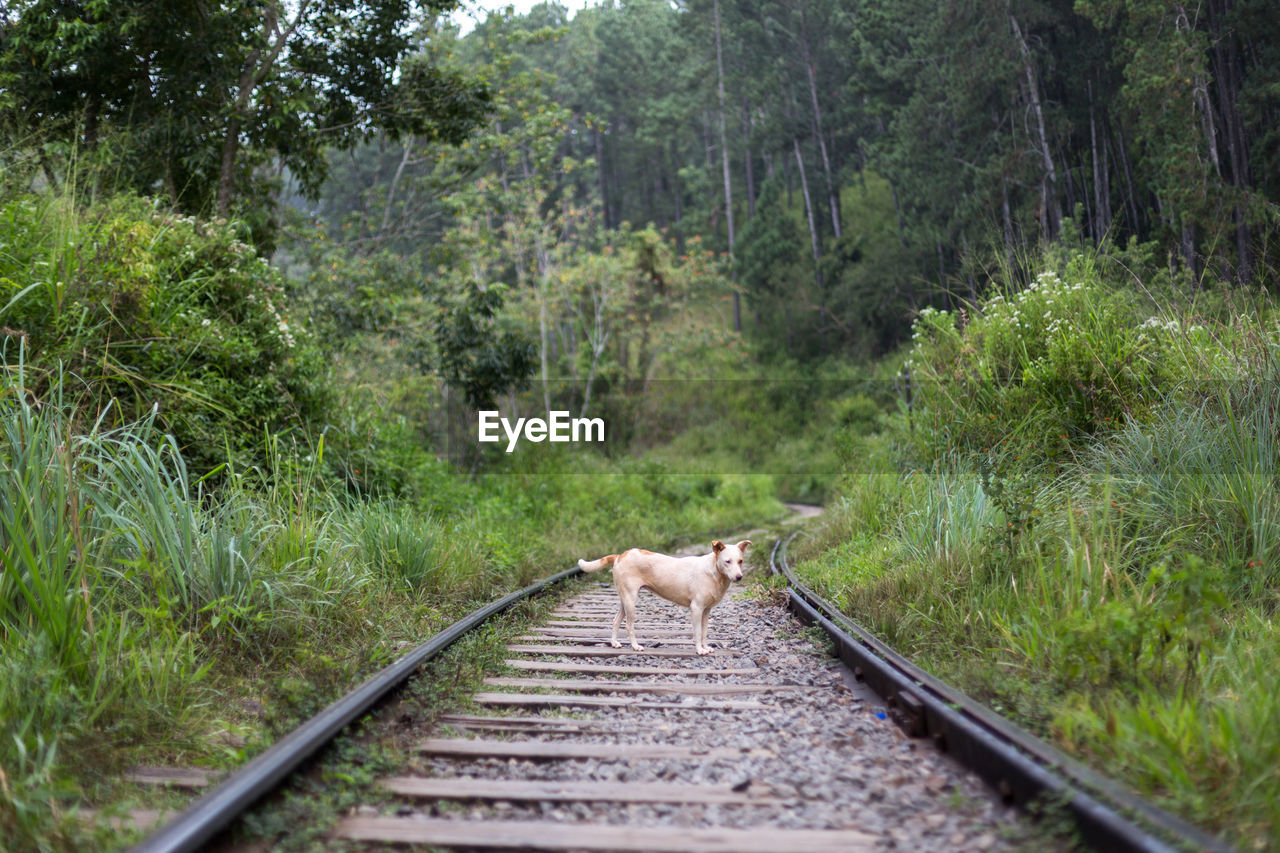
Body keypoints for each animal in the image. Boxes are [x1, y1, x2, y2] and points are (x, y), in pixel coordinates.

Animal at [578, 540, 747, 653]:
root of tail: (620, 555)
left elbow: (704, 632)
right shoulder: (696, 609)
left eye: (740, 561)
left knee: (615, 621)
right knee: (628, 625)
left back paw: (614, 643)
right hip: (631, 601)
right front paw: (700, 650)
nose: (739, 577)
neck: (714, 571)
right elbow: (698, 632)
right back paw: (635, 646)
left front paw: (706, 647)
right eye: (727, 561)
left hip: (624, 601)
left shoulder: (706, 611)